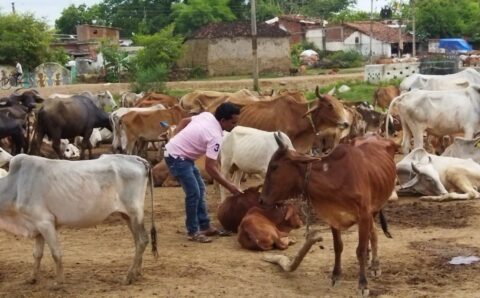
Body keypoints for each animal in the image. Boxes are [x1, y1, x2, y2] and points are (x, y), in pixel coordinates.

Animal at [260, 134, 396, 296]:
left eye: (274, 166)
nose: (261, 200)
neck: (335, 177)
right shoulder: (334, 217)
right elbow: (338, 246)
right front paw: (336, 276)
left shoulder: (364, 214)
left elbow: (360, 250)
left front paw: (363, 284)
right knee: (373, 232)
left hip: (374, 209)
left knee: (373, 234)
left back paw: (375, 265)